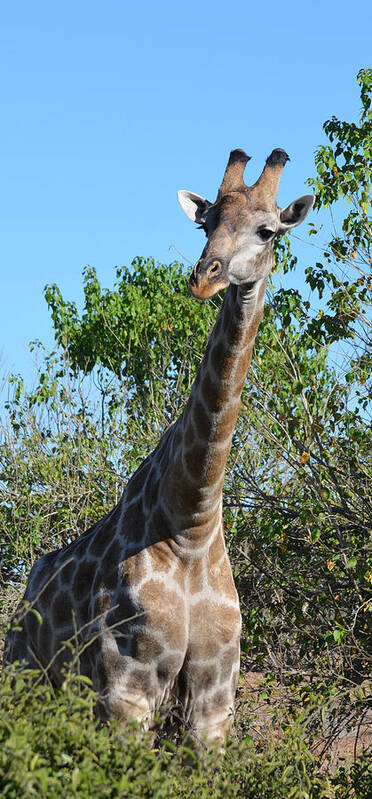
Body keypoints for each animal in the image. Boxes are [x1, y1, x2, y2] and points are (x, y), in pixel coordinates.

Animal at [5, 145, 314, 752]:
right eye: (205, 222)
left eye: (268, 231)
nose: (204, 277)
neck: (192, 524)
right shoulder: (125, 692)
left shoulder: (213, 706)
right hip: (26, 679)